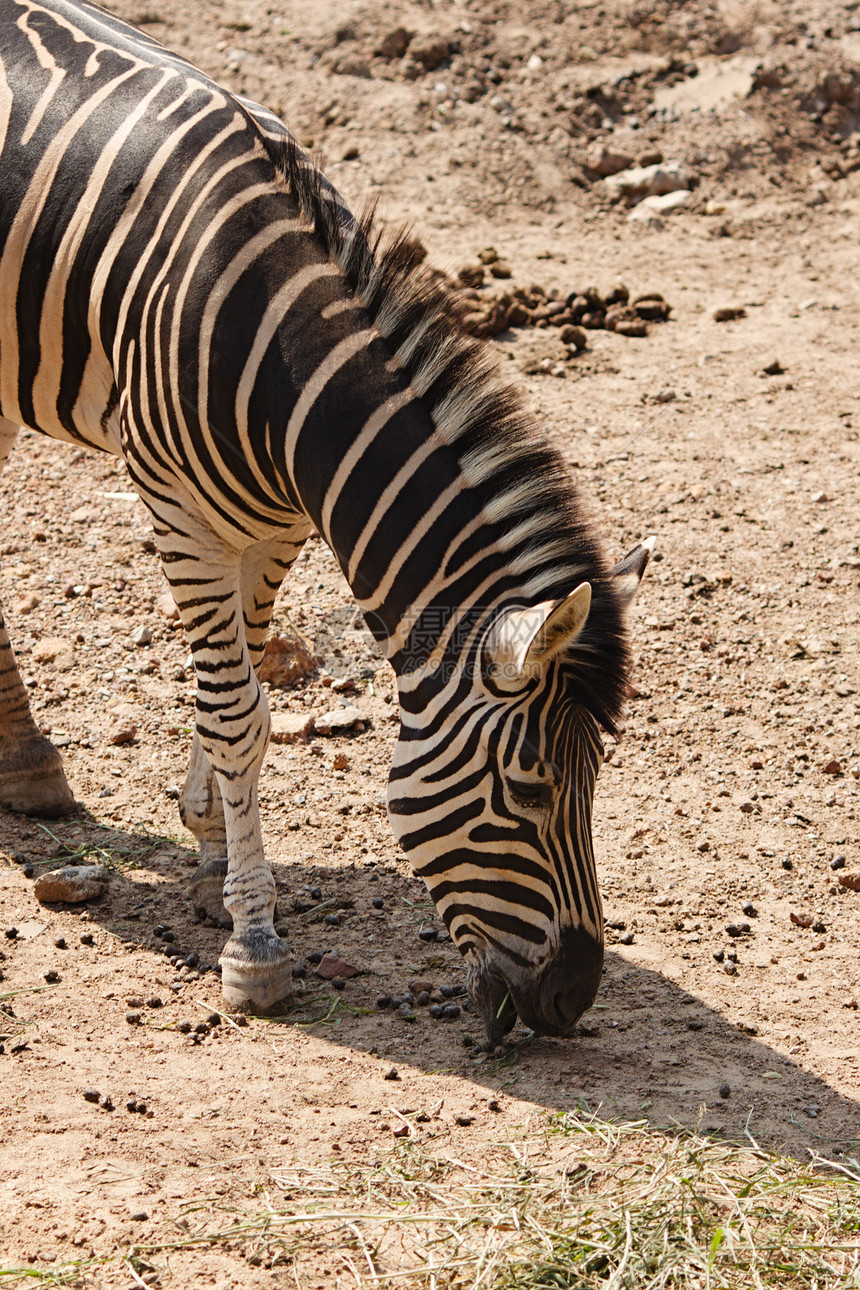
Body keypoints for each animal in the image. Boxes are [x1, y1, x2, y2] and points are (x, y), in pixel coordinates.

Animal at [1, 0, 652, 1042]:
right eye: (530, 789)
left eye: (594, 782)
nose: (570, 1002)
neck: (282, 361)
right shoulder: (179, 509)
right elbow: (237, 716)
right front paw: (254, 948)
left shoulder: (272, 523)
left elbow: (250, 695)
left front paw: (213, 849)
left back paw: (22, 763)